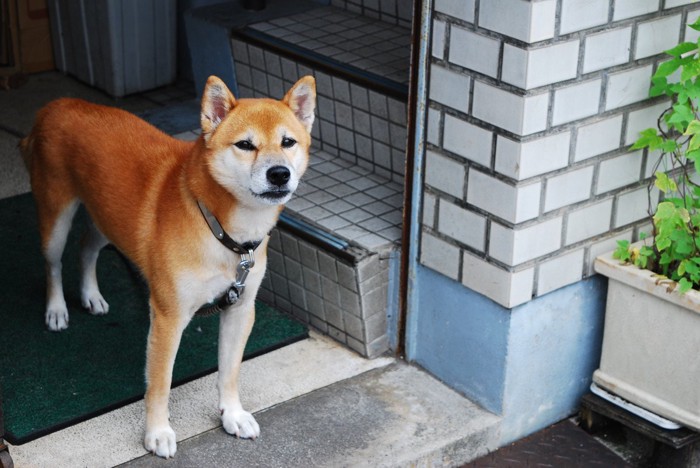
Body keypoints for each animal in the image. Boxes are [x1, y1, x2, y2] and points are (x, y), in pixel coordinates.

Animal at [21, 76, 318, 458]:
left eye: (287, 142)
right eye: (245, 145)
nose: (279, 173)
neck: (223, 229)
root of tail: (57, 104)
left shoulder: (240, 307)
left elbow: (230, 371)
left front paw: (232, 415)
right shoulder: (168, 315)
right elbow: (160, 383)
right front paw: (157, 433)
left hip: (108, 219)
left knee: (86, 248)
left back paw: (91, 295)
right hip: (55, 216)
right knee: (54, 263)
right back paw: (57, 309)